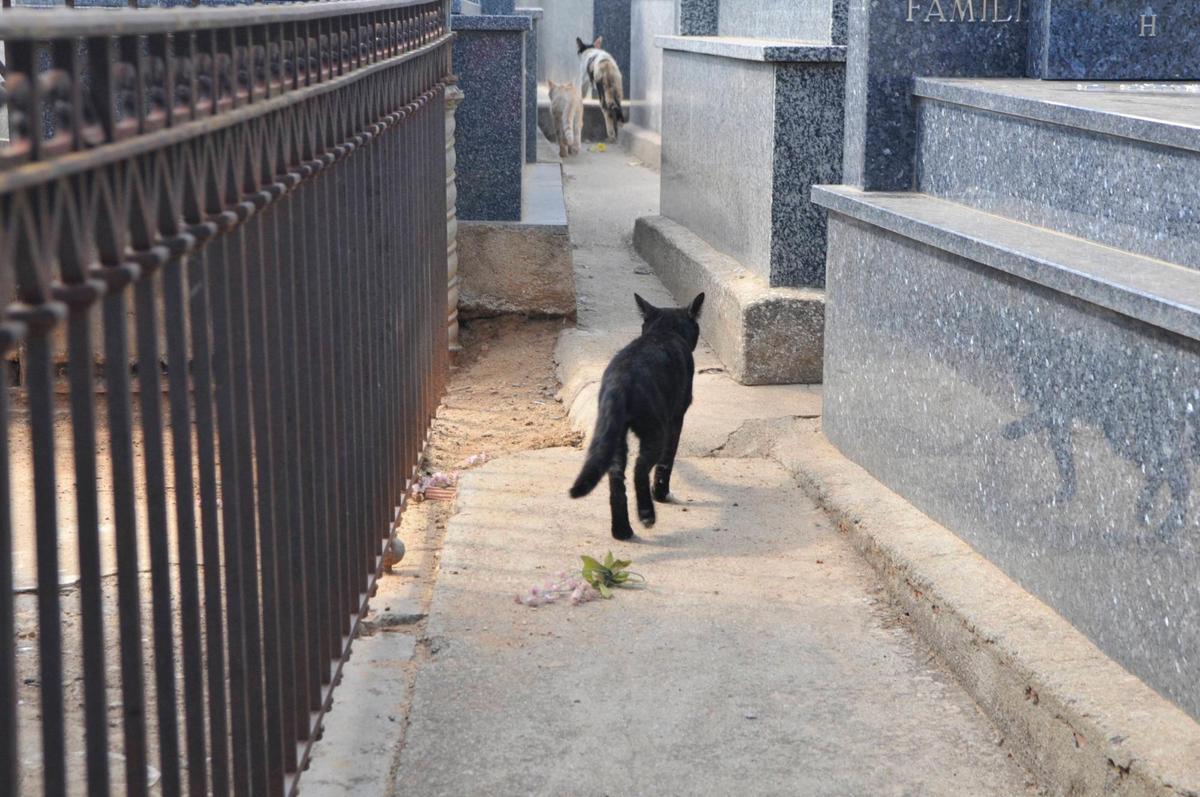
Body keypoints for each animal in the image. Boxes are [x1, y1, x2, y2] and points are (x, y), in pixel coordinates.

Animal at [568, 292, 700, 542]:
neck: (664, 332)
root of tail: (621, 380)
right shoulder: (676, 417)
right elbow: (668, 459)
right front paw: (661, 494)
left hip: (615, 434)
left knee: (616, 480)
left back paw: (622, 531)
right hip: (654, 430)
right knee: (640, 469)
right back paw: (647, 514)